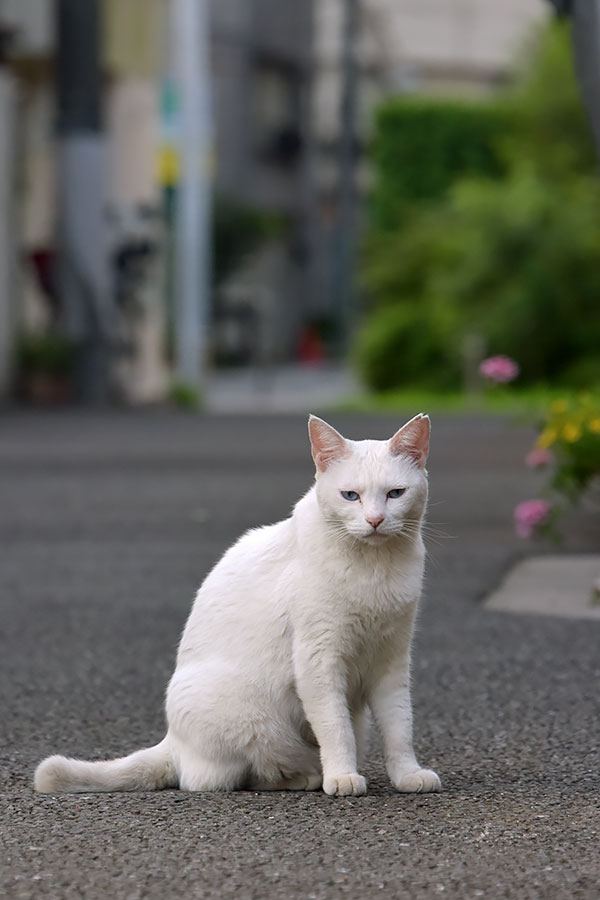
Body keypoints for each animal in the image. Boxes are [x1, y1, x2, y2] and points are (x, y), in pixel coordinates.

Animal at [36, 414, 440, 796]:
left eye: (395, 493)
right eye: (350, 496)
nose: (375, 520)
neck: (375, 570)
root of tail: (172, 742)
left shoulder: (392, 661)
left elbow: (399, 727)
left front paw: (408, 776)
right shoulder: (318, 661)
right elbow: (335, 727)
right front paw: (342, 776)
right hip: (255, 721)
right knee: (235, 775)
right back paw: (308, 777)